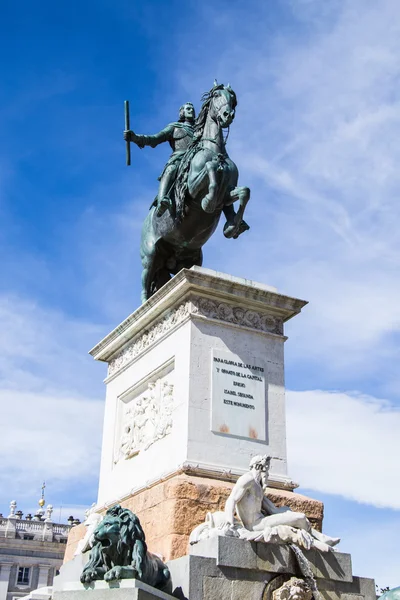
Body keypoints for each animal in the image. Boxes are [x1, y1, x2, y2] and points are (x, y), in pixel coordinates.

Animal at [141, 82, 250, 302]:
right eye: (216, 95)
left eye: (233, 99)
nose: (228, 114)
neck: (213, 149)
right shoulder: (191, 187)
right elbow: (210, 169)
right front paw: (209, 200)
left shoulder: (227, 194)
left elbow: (244, 192)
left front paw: (233, 226)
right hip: (149, 257)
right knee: (145, 289)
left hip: (190, 259)